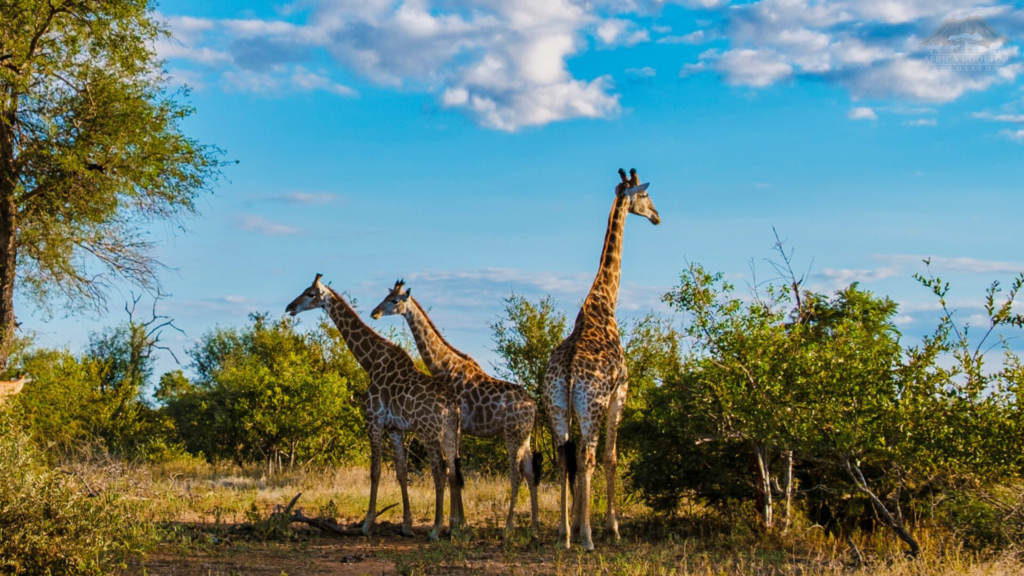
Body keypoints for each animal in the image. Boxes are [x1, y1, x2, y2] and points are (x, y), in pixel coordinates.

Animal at [286, 272, 466, 537]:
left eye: (310, 293)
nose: (290, 307)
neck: (370, 361)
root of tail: (453, 406)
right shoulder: (394, 428)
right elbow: (401, 472)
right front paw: (406, 525)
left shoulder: (373, 420)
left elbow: (375, 471)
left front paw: (367, 523)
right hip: (451, 433)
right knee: (453, 471)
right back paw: (454, 527)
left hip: (429, 432)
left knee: (440, 470)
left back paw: (436, 528)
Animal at [370, 282, 544, 532]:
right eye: (386, 296)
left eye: (395, 300)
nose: (375, 312)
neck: (444, 367)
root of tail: (535, 405)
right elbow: (456, 470)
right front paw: (459, 522)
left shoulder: (456, 425)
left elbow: (454, 470)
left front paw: (455, 523)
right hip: (525, 436)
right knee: (530, 472)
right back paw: (534, 524)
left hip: (513, 434)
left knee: (516, 474)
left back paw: (509, 526)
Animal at [544, 168, 663, 549]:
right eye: (645, 196)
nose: (657, 217)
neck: (603, 302)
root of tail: (568, 373)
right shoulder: (619, 392)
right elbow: (611, 458)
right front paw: (612, 528)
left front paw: (575, 524)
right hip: (592, 405)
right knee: (589, 457)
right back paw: (587, 537)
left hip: (557, 406)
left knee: (564, 456)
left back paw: (565, 534)